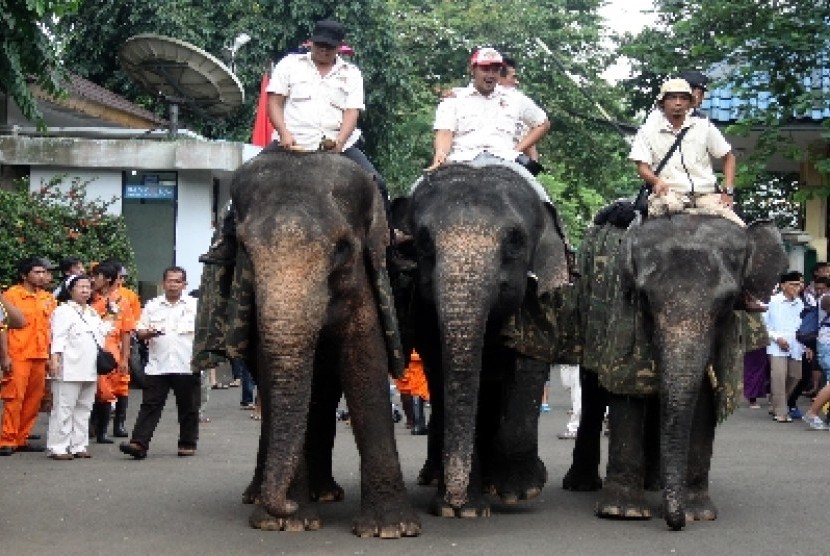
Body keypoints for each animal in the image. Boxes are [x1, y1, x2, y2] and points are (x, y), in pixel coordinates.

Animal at [223, 149, 420, 540]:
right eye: (244, 248)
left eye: (342, 249)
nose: (284, 503)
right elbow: (269, 369)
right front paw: (288, 522)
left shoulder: (364, 282)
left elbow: (366, 363)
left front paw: (391, 529)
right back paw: (263, 495)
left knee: (325, 393)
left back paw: (325, 492)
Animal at [396, 163, 572, 520]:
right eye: (424, 241)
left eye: (516, 240)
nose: (456, 499)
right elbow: (443, 369)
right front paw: (461, 510)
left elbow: (529, 362)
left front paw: (519, 491)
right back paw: (435, 477)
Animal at [564, 213, 788, 528]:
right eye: (644, 297)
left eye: (727, 301)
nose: (675, 523)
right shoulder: (624, 315)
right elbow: (626, 388)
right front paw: (622, 512)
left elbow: (704, 400)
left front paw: (699, 513)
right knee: (594, 390)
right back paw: (582, 484)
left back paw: (656, 484)